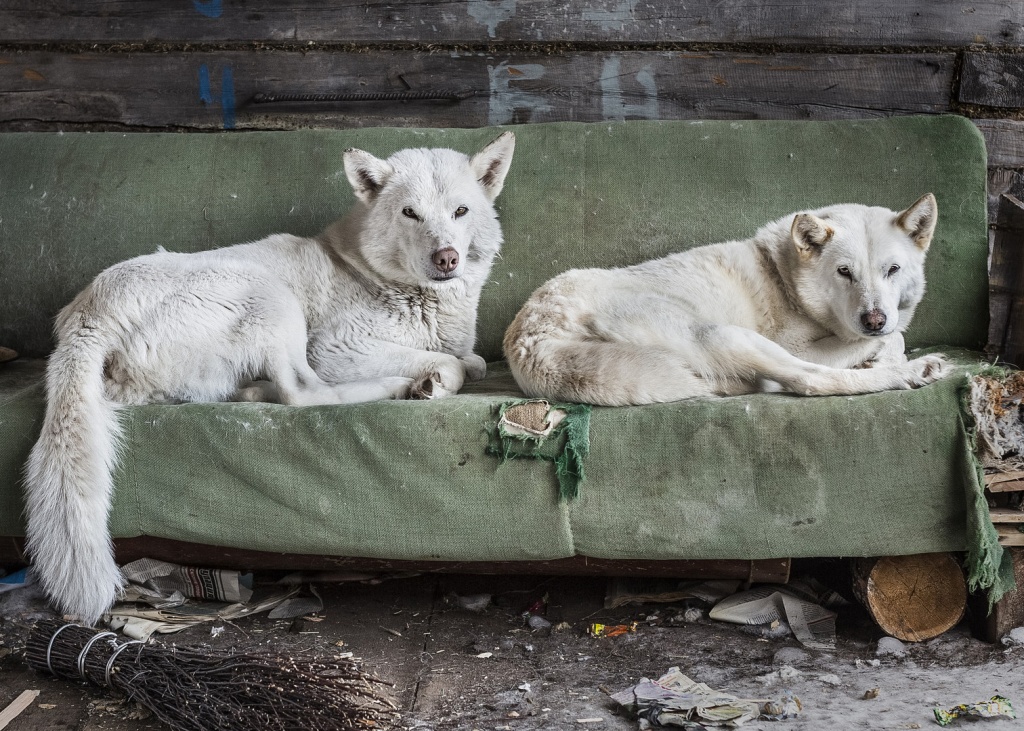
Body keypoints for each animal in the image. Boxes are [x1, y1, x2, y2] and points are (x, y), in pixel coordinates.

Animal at [22, 131, 520, 622]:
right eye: (410, 213)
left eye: (460, 211)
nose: (447, 258)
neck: (374, 273)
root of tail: (87, 317)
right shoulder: (338, 349)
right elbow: (451, 364)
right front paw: (431, 381)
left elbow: (472, 360)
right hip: (271, 296)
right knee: (302, 393)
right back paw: (398, 388)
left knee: (254, 393)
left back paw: (255, 389)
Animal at [507, 193, 946, 403]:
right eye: (844, 272)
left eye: (893, 270)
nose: (874, 319)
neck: (785, 275)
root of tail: (533, 338)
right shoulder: (803, 346)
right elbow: (893, 338)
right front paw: (887, 358)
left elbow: (892, 337)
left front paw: (881, 351)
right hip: (724, 335)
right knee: (809, 381)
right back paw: (914, 372)